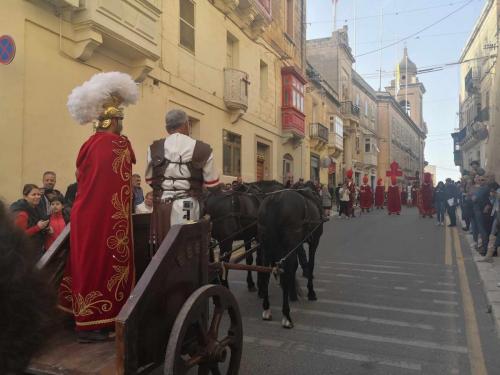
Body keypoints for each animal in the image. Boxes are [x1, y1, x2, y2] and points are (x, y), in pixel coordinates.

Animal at [258, 182, 324, 328]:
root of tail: (275, 200)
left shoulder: (296, 245)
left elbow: (294, 266)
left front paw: (293, 293)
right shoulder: (314, 241)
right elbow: (310, 265)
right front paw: (311, 292)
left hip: (267, 245)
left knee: (266, 272)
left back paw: (266, 308)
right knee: (285, 271)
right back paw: (286, 315)